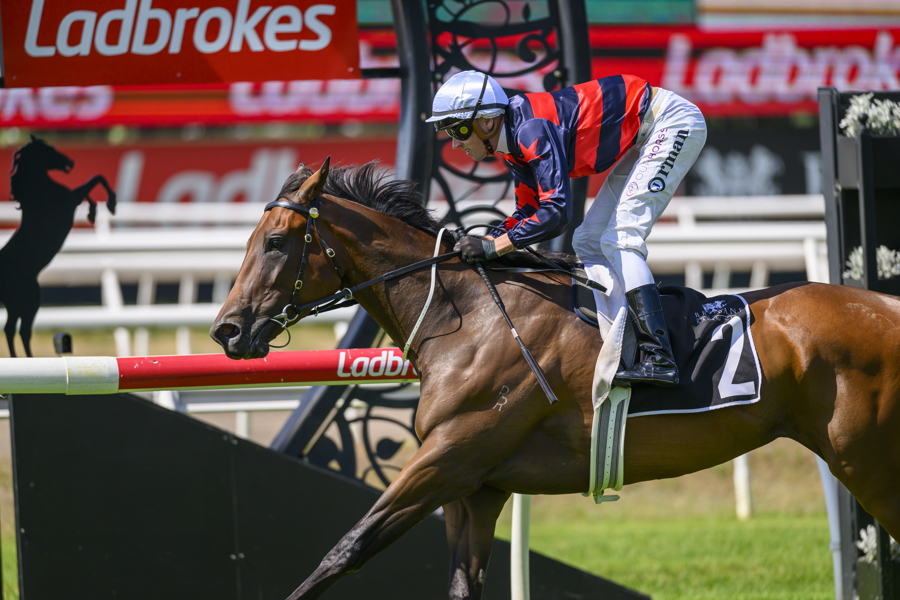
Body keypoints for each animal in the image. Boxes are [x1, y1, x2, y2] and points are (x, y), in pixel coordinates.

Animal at [0, 135, 116, 357]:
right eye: (48, 150)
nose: (70, 162)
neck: (37, 190)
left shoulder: (72, 199)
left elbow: (90, 188)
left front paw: (93, 213)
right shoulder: (70, 199)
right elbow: (95, 179)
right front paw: (111, 204)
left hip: (16, 304)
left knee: (10, 329)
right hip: (30, 301)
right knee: (22, 330)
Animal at [211, 159, 900, 600]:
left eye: (275, 242)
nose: (226, 330)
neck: (470, 316)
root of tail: (886, 307)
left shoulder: (447, 458)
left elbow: (343, 552)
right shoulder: (475, 488)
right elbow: (459, 583)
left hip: (867, 461)